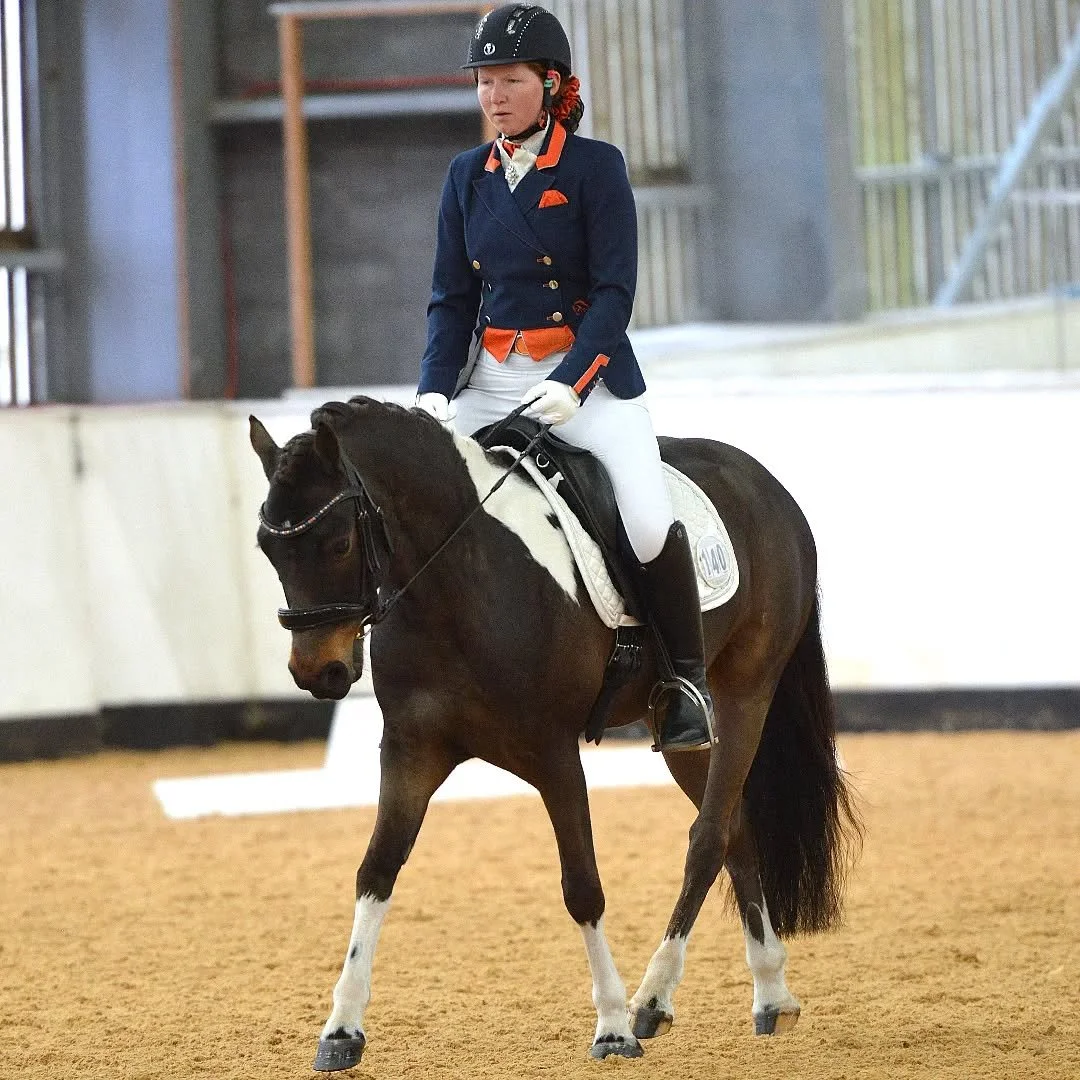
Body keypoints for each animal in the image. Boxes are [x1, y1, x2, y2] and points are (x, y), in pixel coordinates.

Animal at [249, 395, 861, 1071]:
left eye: (337, 542)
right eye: (267, 548)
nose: (318, 673)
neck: (456, 581)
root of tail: (764, 481)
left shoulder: (553, 755)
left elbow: (582, 887)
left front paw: (613, 1028)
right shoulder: (411, 752)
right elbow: (376, 872)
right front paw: (340, 1030)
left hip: (744, 694)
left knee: (706, 838)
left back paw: (652, 1000)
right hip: (682, 733)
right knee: (734, 828)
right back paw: (770, 992)